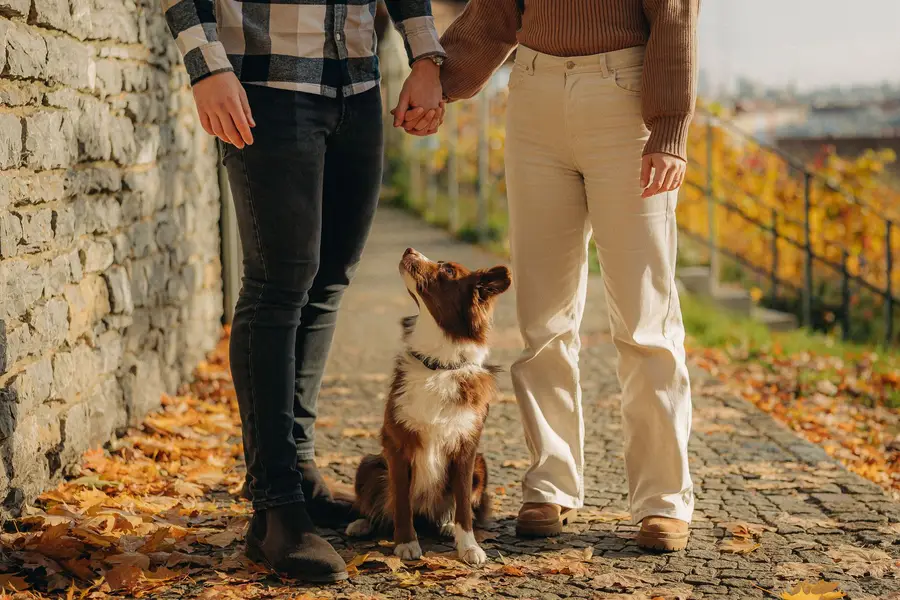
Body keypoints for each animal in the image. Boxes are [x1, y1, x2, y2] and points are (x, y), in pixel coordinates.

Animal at [346, 246, 512, 564]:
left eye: (447, 270)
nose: (409, 249)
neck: (438, 365)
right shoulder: (397, 444)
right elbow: (400, 500)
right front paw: (406, 543)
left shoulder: (466, 448)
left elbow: (463, 506)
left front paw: (468, 546)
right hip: (369, 464)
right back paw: (361, 524)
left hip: (481, 467)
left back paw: (445, 524)